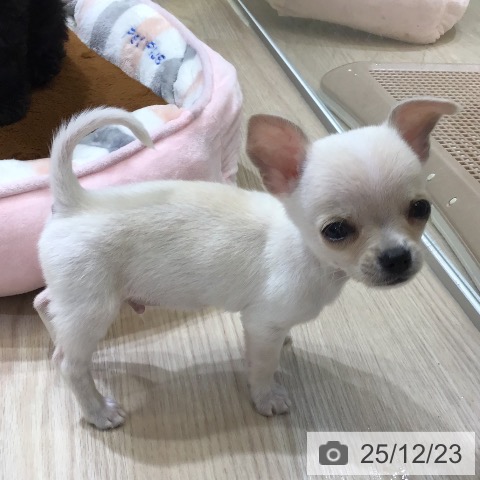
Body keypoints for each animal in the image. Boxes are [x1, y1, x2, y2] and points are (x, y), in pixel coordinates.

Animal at [34, 97, 457, 429]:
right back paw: (97, 412)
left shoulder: (268, 324)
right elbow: (262, 366)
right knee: (71, 366)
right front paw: (267, 398)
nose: (397, 257)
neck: (307, 253)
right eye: (336, 231)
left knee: (47, 309)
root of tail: (76, 202)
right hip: (94, 306)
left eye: (421, 209)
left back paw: (56, 341)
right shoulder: (261, 323)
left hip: (76, 300)